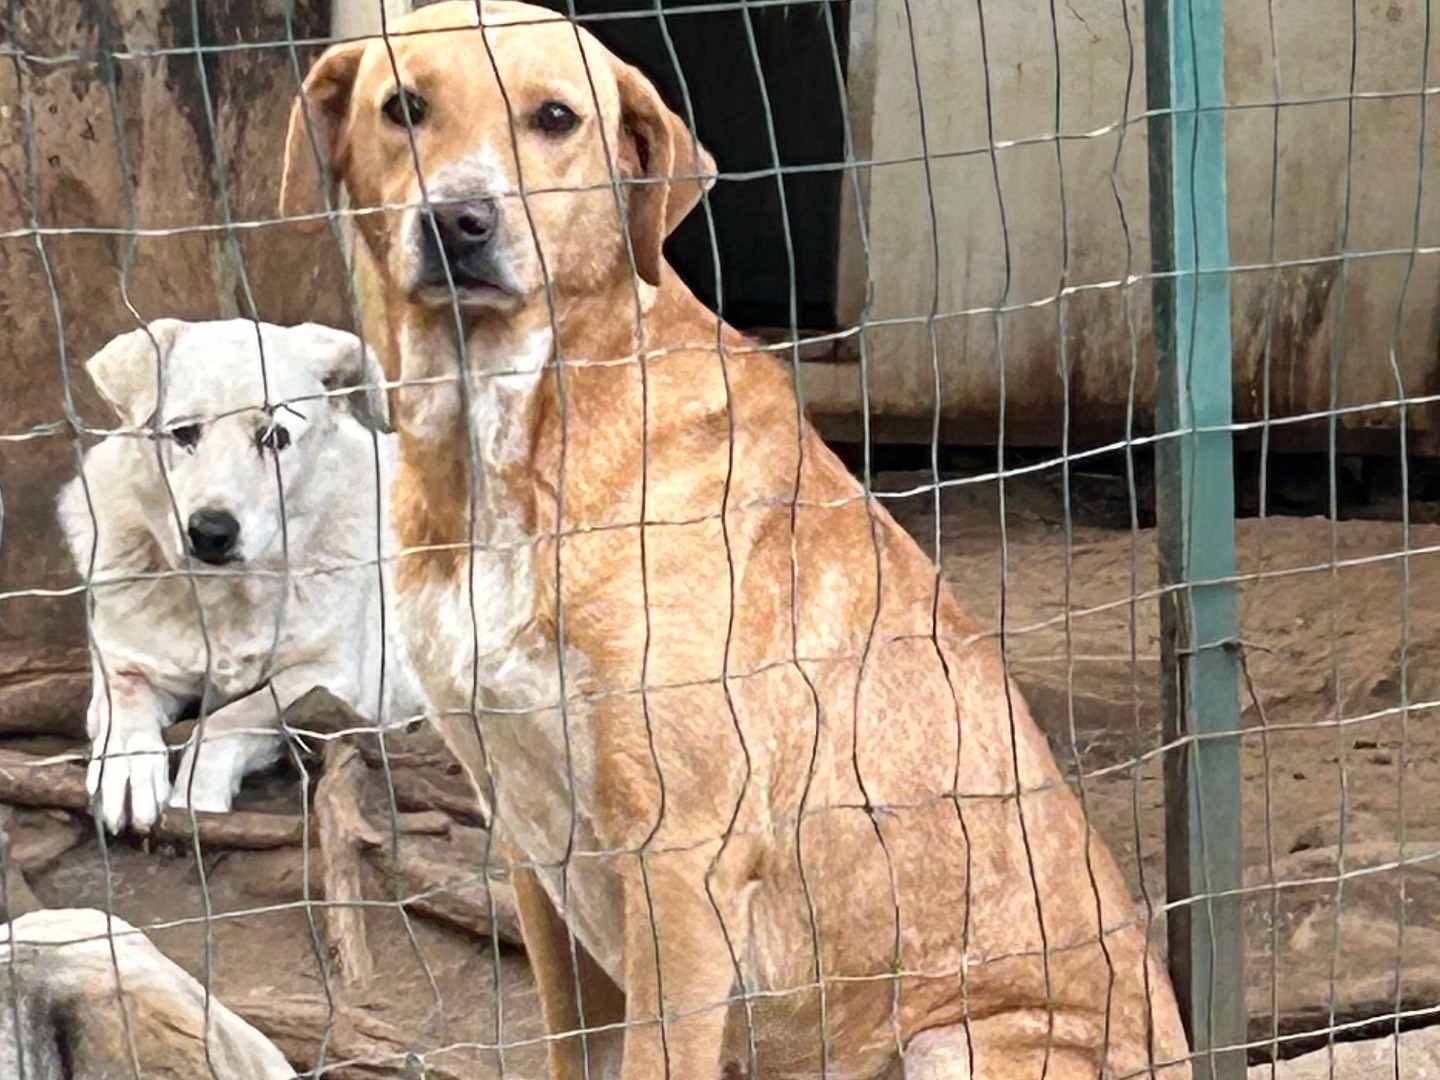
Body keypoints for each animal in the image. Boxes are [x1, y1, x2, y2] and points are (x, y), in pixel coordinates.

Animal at [57, 316, 426, 835]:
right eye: (184, 432)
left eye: (274, 438)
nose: (211, 531)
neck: (221, 597)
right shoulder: (123, 659)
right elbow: (125, 702)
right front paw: (127, 769)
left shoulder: (335, 676)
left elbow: (236, 713)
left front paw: (197, 787)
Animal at [277, 4, 1192, 1077]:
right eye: (404, 108)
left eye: (555, 118)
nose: (461, 222)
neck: (510, 445)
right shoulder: (529, 847)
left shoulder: (680, 868)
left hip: (954, 1042)